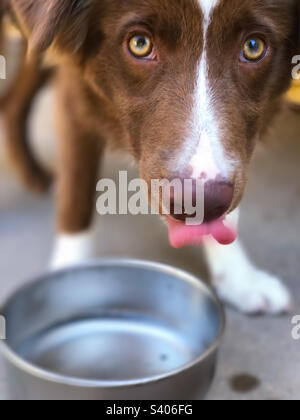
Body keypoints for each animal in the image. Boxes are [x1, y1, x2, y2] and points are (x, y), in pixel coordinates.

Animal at [0, 0, 298, 314]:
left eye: (253, 46)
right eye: (140, 44)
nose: (198, 203)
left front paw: (238, 279)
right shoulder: (74, 93)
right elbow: (77, 193)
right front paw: (68, 281)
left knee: (12, 104)